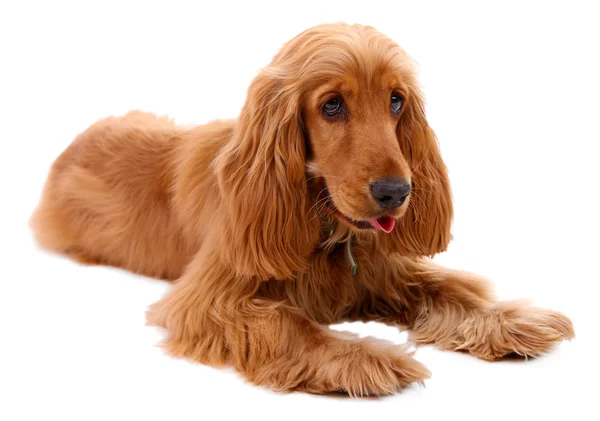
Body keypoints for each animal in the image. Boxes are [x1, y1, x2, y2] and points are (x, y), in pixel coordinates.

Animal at [30, 23, 576, 398]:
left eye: (396, 100)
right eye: (332, 105)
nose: (397, 192)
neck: (326, 229)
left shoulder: (382, 271)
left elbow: (448, 289)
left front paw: (507, 319)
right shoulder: (207, 301)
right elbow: (291, 325)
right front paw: (362, 357)